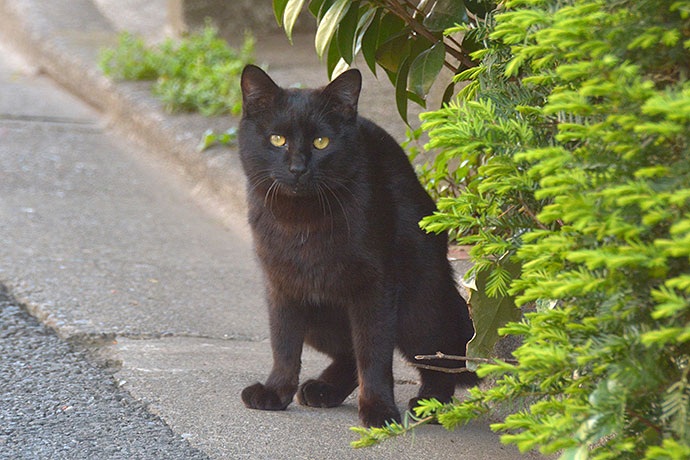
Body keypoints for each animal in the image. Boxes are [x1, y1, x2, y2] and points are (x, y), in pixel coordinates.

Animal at [236, 64, 472, 428]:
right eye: (277, 139)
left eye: (321, 142)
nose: (297, 168)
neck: (303, 221)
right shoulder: (281, 286)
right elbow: (283, 345)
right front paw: (276, 392)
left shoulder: (375, 287)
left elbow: (374, 353)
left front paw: (378, 410)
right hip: (319, 319)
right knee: (348, 352)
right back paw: (323, 390)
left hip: (418, 308)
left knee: (442, 355)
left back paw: (429, 404)